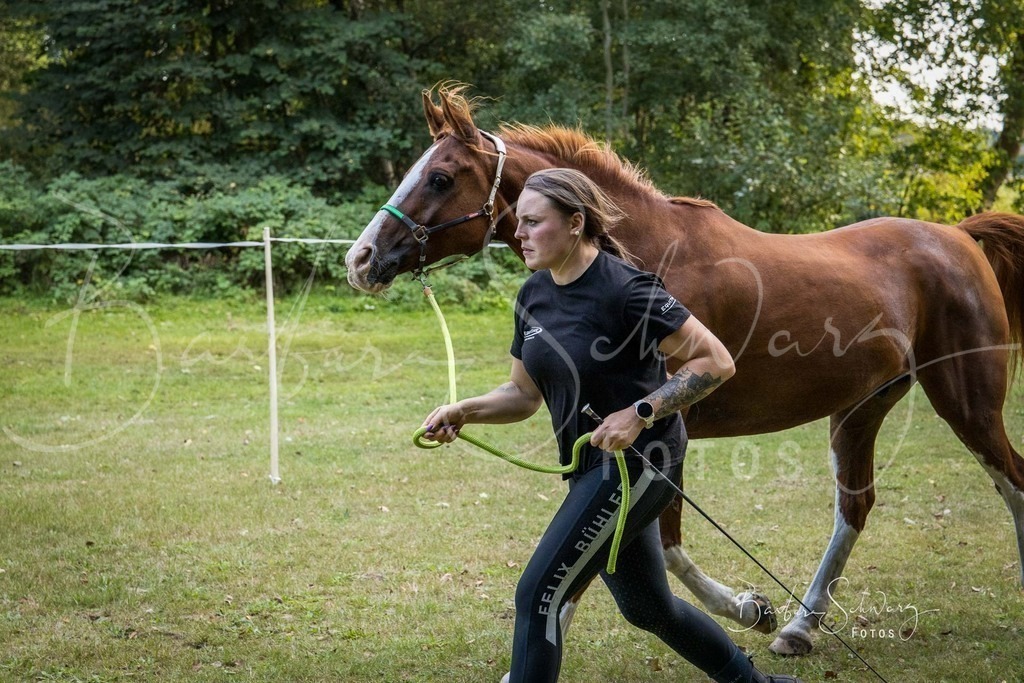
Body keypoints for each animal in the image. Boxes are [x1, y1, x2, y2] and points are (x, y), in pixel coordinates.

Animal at [344, 84, 1024, 659]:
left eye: (440, 176)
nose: (361, 259)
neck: (646, 250)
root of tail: (958, 237)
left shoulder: (663, 431)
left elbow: (661, 552)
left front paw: (749, 607)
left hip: (968, 405)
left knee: (1012, 483)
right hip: (859, 410)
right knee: (855, 507)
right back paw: (800, 629)